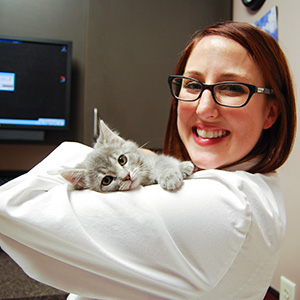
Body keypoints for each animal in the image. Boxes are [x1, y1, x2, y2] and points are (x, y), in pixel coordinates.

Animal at [61, 120, 195, 192]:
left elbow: (163, 161)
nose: (127, 176)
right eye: (106, 180)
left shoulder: (153, 158)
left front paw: (171, 175)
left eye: (122, 160)